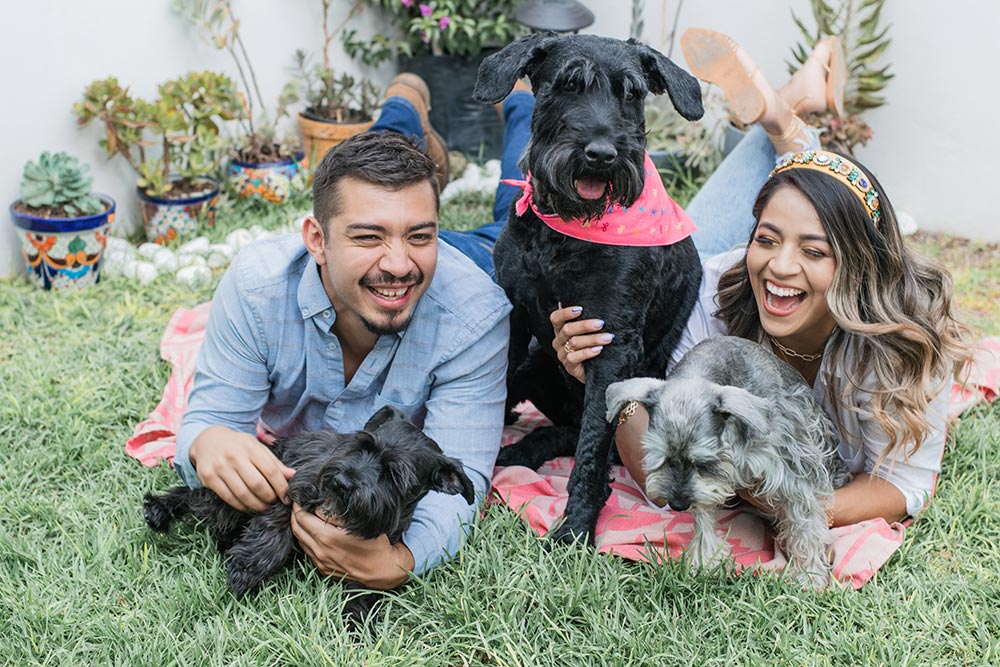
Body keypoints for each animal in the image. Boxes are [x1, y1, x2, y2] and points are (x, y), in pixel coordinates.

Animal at [143, 404, 478, 628]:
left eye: (395, 475)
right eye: (362, 445)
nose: (342, 482)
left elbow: (367, 586)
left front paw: (358, 622)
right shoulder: (293, 485)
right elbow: (275, 528)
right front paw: (246, 570)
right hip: (232, 493)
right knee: (194, 500)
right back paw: (159, 510)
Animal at [474, 34, 704, 548]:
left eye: (632, 93)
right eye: (567, 84)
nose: (601, 154)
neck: (565, 232)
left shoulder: (612, 343)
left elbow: (592, 450)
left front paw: (575, 527)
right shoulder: (513, 322)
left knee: (574, 434)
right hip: (538, 358)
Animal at [600, 336, 852, 588]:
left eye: (702, 461)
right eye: (662, 457)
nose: (678, 504)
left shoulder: (792, 473)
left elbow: (806, 524)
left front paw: (810, 576)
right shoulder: (706, 485)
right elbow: (703, 514)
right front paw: (703, 559)